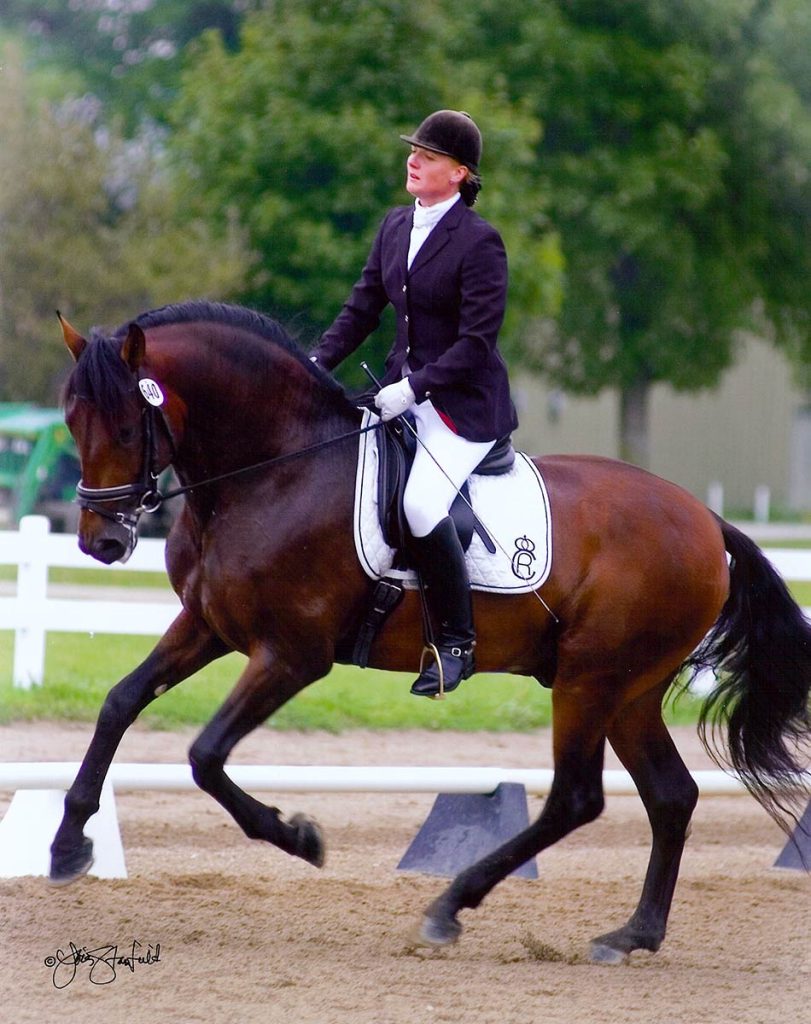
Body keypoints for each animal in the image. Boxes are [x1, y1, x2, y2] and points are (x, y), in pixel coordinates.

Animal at [51, 300, 810, 963]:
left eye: (127, 428)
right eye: (70, 420)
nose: (101, 542)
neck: (275, 471)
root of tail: (706, 521)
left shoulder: (293, 655)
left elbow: (205, 754)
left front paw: (299, 837)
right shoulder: (207, 625)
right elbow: (120, 703)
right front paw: (67, 845)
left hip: (590, 680)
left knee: (577, 797)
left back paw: (449, 906)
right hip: (629, 692)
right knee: (669, 796)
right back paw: (631, 936)